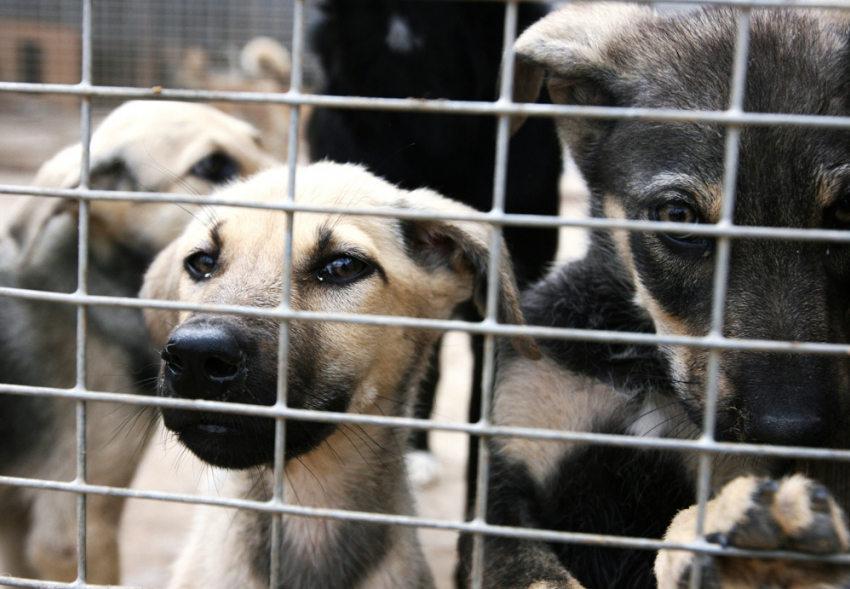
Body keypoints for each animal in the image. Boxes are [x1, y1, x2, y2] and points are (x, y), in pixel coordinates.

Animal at [460, 4, 848, 588]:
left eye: (846, 213)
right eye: (678, 215)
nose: (792, 430)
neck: (644, 369)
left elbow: (687, 518)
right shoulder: (505, 487)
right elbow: (533, 574)